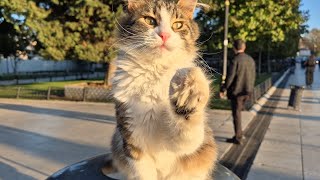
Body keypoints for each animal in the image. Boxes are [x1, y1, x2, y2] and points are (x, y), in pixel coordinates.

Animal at [105, 0, 218, 180]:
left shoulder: (183, 143)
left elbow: (188, 128)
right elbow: (143, 173)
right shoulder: (132, 138)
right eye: (149, 20)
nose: (164, 35)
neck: (155, 70)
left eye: (177, 25)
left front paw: (188, 87)